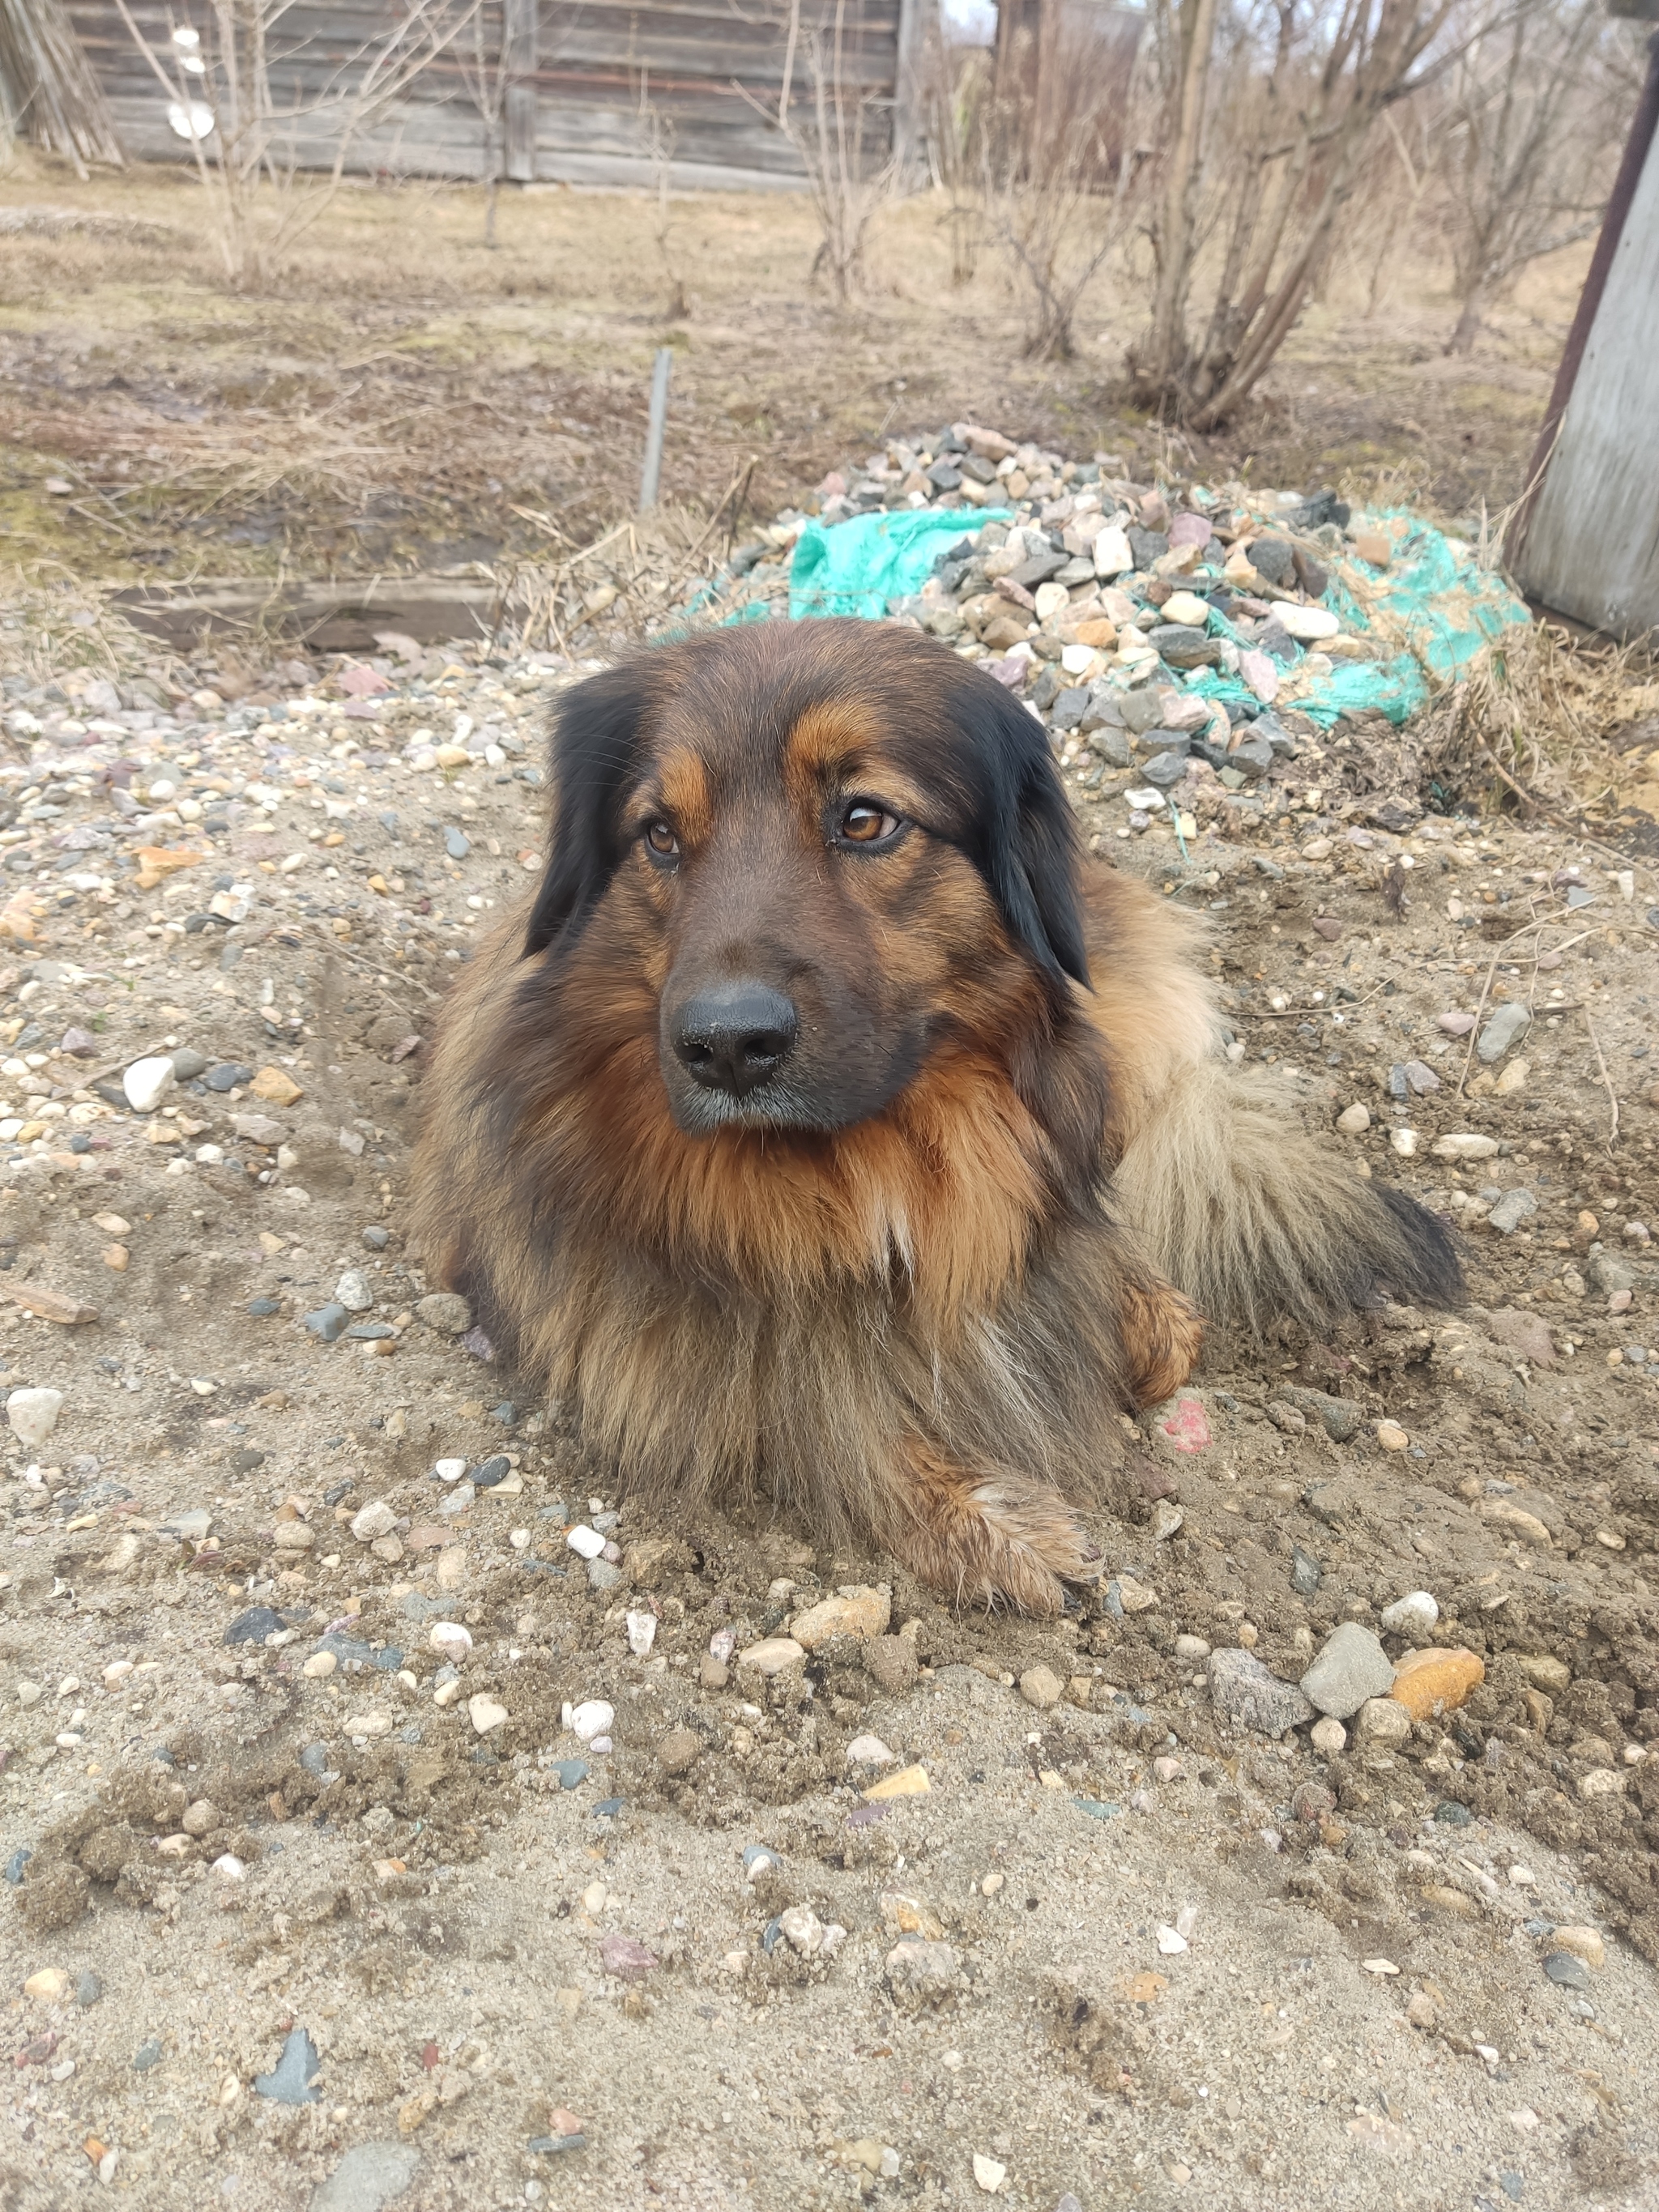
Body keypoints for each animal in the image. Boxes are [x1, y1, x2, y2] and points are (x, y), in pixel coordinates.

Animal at [413, 618, 1459, 1612]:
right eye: (660, 837)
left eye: (864, 819)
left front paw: (1123, 1312)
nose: (725, 1046)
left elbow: (1140, 1309)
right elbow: (808, 1398)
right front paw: (975, 1516)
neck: (857, 1167)